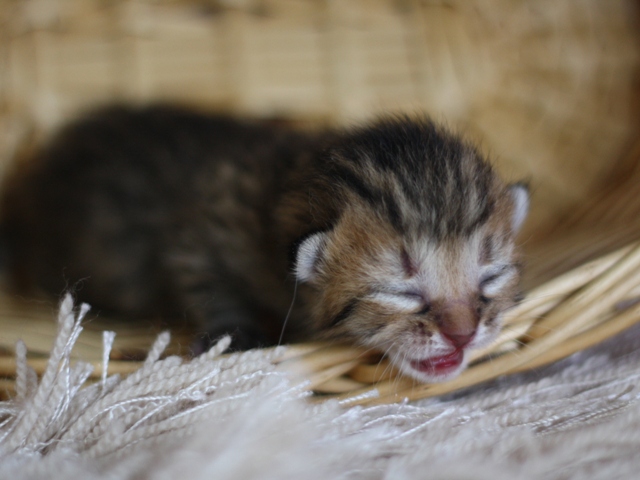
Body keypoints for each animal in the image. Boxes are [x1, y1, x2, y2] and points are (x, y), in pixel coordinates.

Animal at [0, 106, 528, 382]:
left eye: (491, 276)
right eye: (403, 291)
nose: (463, 335)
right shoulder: (202, 229)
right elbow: (205, 279)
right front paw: (234, 332)